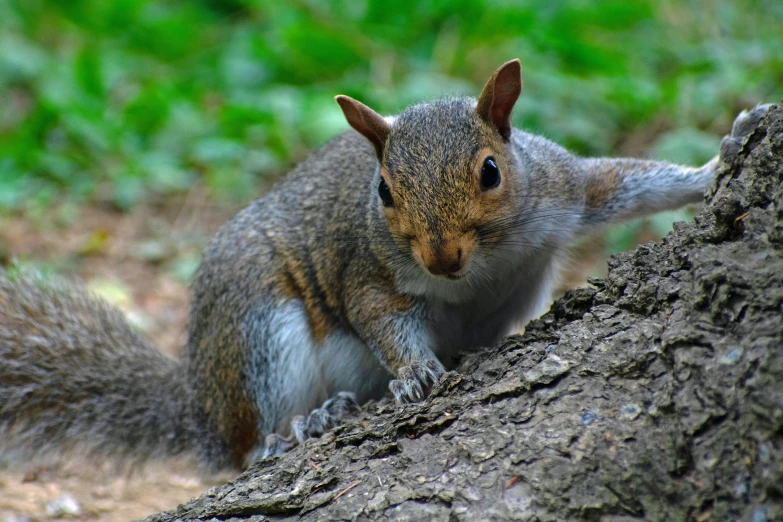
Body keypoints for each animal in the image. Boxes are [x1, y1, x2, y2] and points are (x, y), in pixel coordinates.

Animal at [0, 60, 772, 468]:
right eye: (383, 192)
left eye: (491, 171)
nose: (440, 256)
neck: (483, 262)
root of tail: (200, 407)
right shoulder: (365, 268)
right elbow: (380, 317)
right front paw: (415, 373)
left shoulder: (561, 190)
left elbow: (624, 183)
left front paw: (719, 162)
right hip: (256, 326)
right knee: (248, 444)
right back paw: (300, 428)